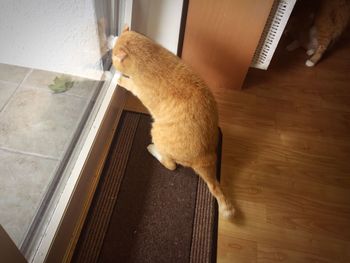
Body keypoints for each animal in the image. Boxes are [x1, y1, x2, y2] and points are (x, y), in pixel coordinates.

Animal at [113, 27, 235, 221]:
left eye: (111, 57)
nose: (110, 61)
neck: (151, 58)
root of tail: (205, 156)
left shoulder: (138, 89)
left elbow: (129, 83)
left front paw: (117, 77)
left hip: (157, 132)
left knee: (170, 165)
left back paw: (153, 149)